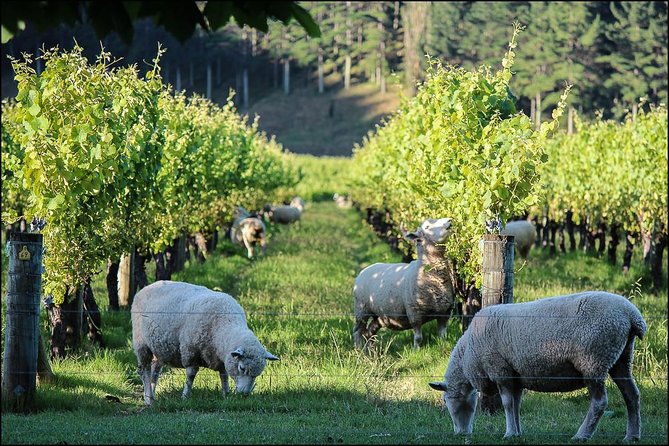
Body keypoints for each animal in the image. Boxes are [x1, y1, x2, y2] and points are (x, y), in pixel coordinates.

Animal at [130, 280, 280, 406]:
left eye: (258, 373)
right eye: (242, 368)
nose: (245, 395)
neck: (223, 326)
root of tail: (146, 287)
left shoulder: (222, 357)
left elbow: (224, 376)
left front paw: (226, 395)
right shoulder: (190, 352)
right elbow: (190, 376)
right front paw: (185, 397)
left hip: (158, 349)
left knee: (155, 371)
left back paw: (152, 395)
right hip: (141, 344)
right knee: (145, 371)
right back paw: (148, 399)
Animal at [352, 218, 456, 350]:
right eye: (427, 227)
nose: (449, 220)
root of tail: (365, 269)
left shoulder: (445, 313)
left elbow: (442, 335)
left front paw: (443, 347)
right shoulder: (414, 314)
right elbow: (418, 338)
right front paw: (416, 351)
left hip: (379, 315)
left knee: (370, 332)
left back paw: (370, 351)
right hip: (361, 310)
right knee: (357, 332)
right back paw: (358, 349)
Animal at [430, 290, 644, 440]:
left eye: (446, 402)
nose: (460, 434)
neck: (469, 351)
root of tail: (632, 316)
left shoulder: (500, 370)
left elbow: (507, 404)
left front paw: (508, 433)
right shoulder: (515, 375)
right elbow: (515, 404)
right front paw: (516, 433)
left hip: (593, 361)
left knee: (599, 402)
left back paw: (581, 435)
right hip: (621, 359)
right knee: (631, 395)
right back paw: (632, 435)